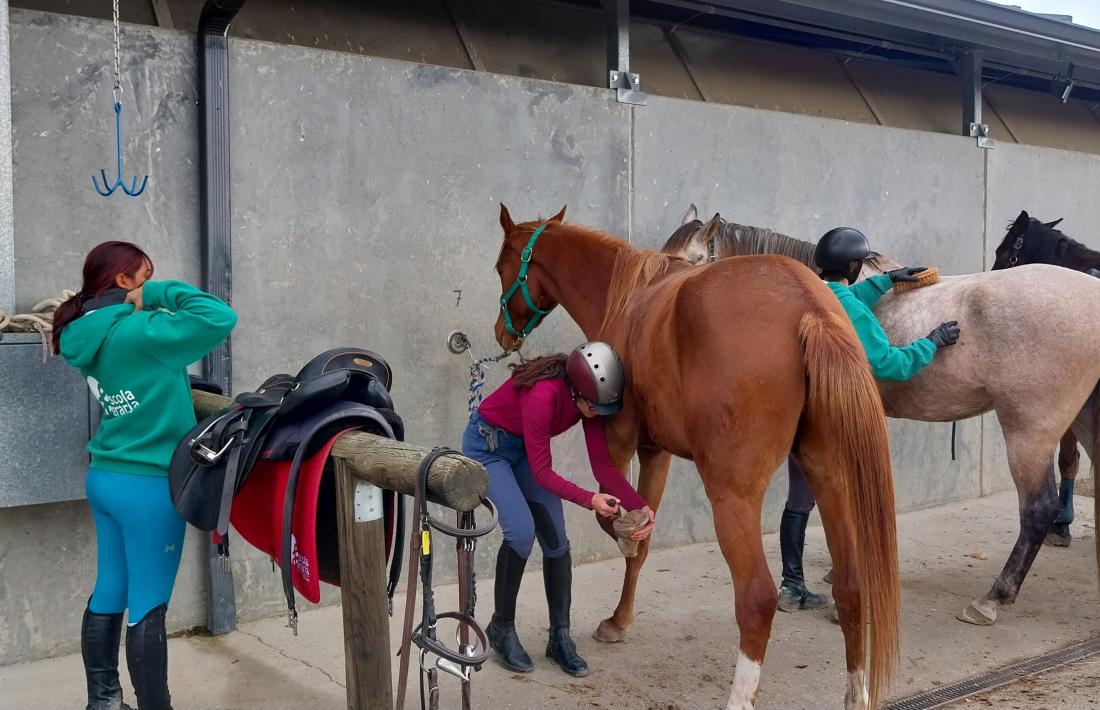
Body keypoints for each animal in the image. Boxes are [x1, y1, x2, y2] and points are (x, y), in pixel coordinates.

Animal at [495, 202, 897, 704]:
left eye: (501, 267)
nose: (502, 334)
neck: (626, 298)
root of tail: (809, 309)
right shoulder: (656, 453)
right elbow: (642, 541)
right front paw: (620, 621)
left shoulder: (618, 442)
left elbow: (615, 521)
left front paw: (625, 539)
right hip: (829, 478)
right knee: (851, 586)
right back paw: (855, 694)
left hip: (733, 496)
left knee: (757, 597)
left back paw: (739, 696)